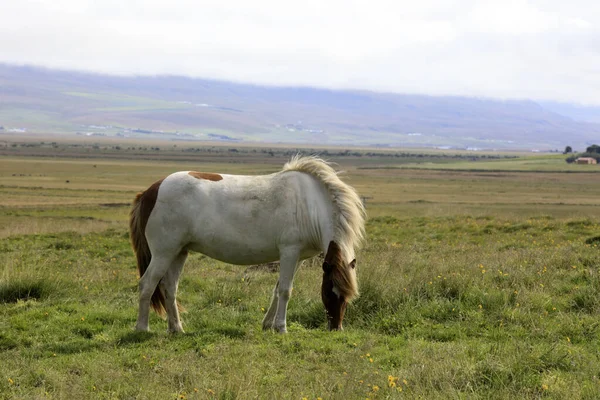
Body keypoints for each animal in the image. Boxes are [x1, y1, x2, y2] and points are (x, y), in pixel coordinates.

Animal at [129, 155, 366, 332]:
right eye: (329, 292)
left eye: (347, 296)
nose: (336, 328)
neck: (309, 204)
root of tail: (150, 191)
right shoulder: (289, 252)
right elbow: (285, 290)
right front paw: (281, 327)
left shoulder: (297, 258)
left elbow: (277, 289)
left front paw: (268, 324)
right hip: (163, 253)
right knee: (147, 284)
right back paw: (142, 328)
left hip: (179, 252)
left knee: (170, 287)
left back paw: (176, 328)